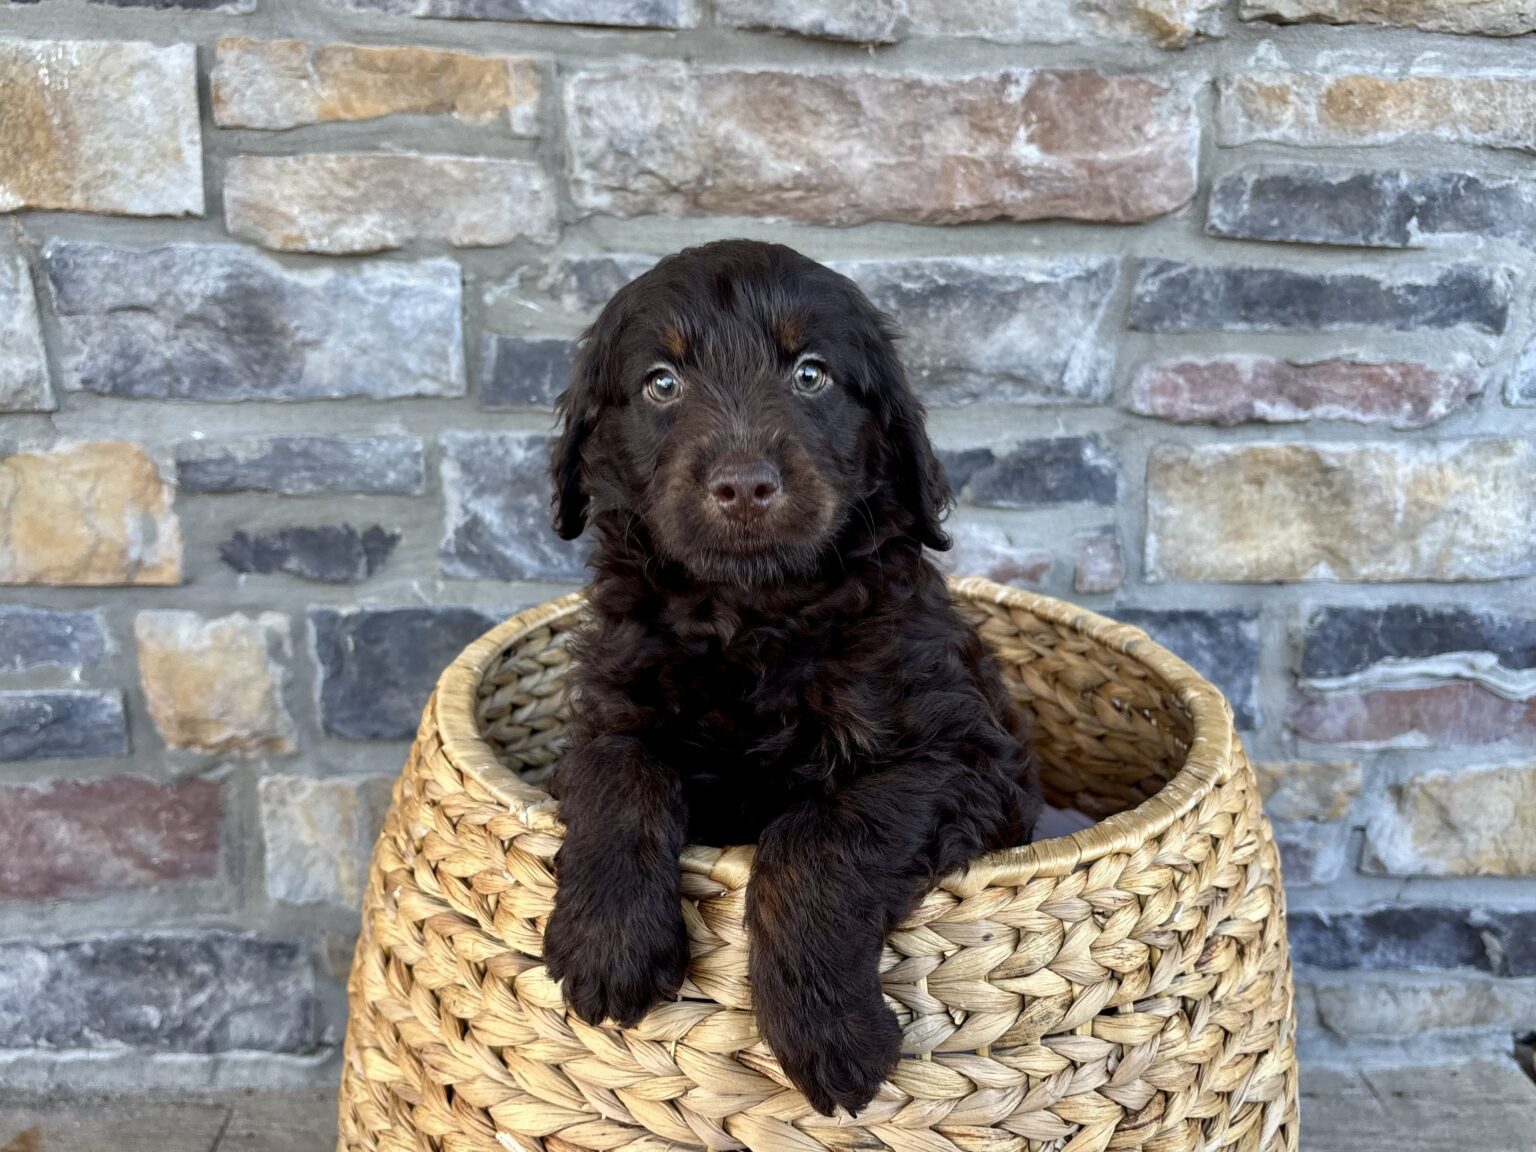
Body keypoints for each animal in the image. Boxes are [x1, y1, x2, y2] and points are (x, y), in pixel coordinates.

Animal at [543, 239, 1042, 1116]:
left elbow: (819, 834)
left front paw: (830, 1035)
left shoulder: (965, 757)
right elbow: (618, 775)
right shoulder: (612, 704)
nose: (744, 486)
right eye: (661, 383)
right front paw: (606, 946)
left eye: (810, 374)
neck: (753, 618)